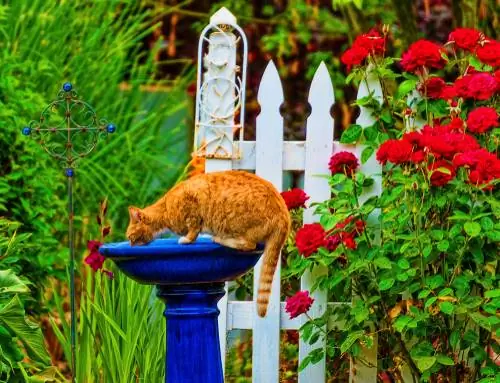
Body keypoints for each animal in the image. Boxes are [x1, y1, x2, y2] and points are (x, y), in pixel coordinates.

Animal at [126, 171, 290, 318]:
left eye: (131, 237)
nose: (130, 245)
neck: (165, 209)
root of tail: (284, 215)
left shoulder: (191, 212)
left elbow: (193, 232)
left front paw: (186, 240)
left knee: (248, 245)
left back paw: (220, 239)